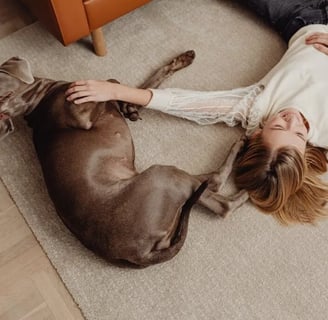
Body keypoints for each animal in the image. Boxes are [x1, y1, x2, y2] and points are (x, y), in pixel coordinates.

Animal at [0, 54, 247, 268]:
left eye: (4, 95)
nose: (4, 123)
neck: (40, 100)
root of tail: (140, 254)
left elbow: (140, 87)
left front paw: (179, 61)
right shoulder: (81, 115)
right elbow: (111, 84)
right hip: (161, 175)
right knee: (219, 196)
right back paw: (245, 162)